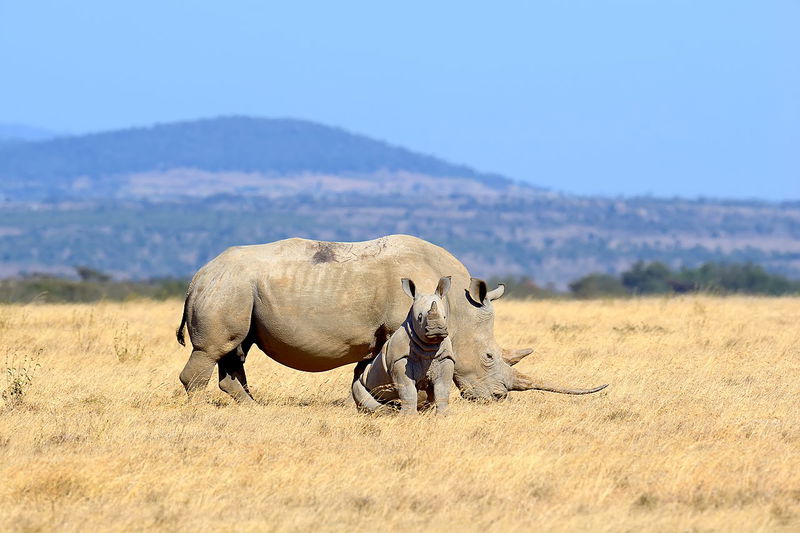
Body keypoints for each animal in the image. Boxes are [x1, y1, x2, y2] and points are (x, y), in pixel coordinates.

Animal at [352, 276, 456, 414]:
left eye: (444, 317)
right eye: (419, 317)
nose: (437, 330)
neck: (430, 345)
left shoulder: (445, 358)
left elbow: (443, 388)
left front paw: (444, 415)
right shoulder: (399, 360)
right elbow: (407, 389)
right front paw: (409, 416)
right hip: (362, 380)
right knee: (361, 391)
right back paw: (387, 411)